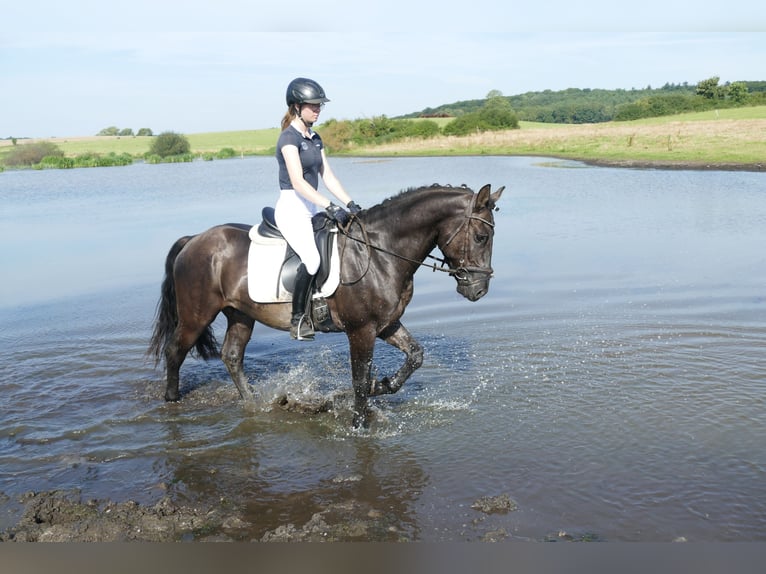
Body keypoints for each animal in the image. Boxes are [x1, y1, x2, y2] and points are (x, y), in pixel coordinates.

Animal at [148, 183, 504, 428]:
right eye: (482, 237)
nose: (479, 290)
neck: (380, 251)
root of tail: (194, 239)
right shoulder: (361, 330)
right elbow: (358, 379)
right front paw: (359, 424)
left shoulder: (386, 324)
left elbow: (414, 356)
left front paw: (382, 385)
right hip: (197, 315)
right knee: (175, 351)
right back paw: (172, 401)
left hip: (241, 315)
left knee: (232, 356)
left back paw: (252, 403)